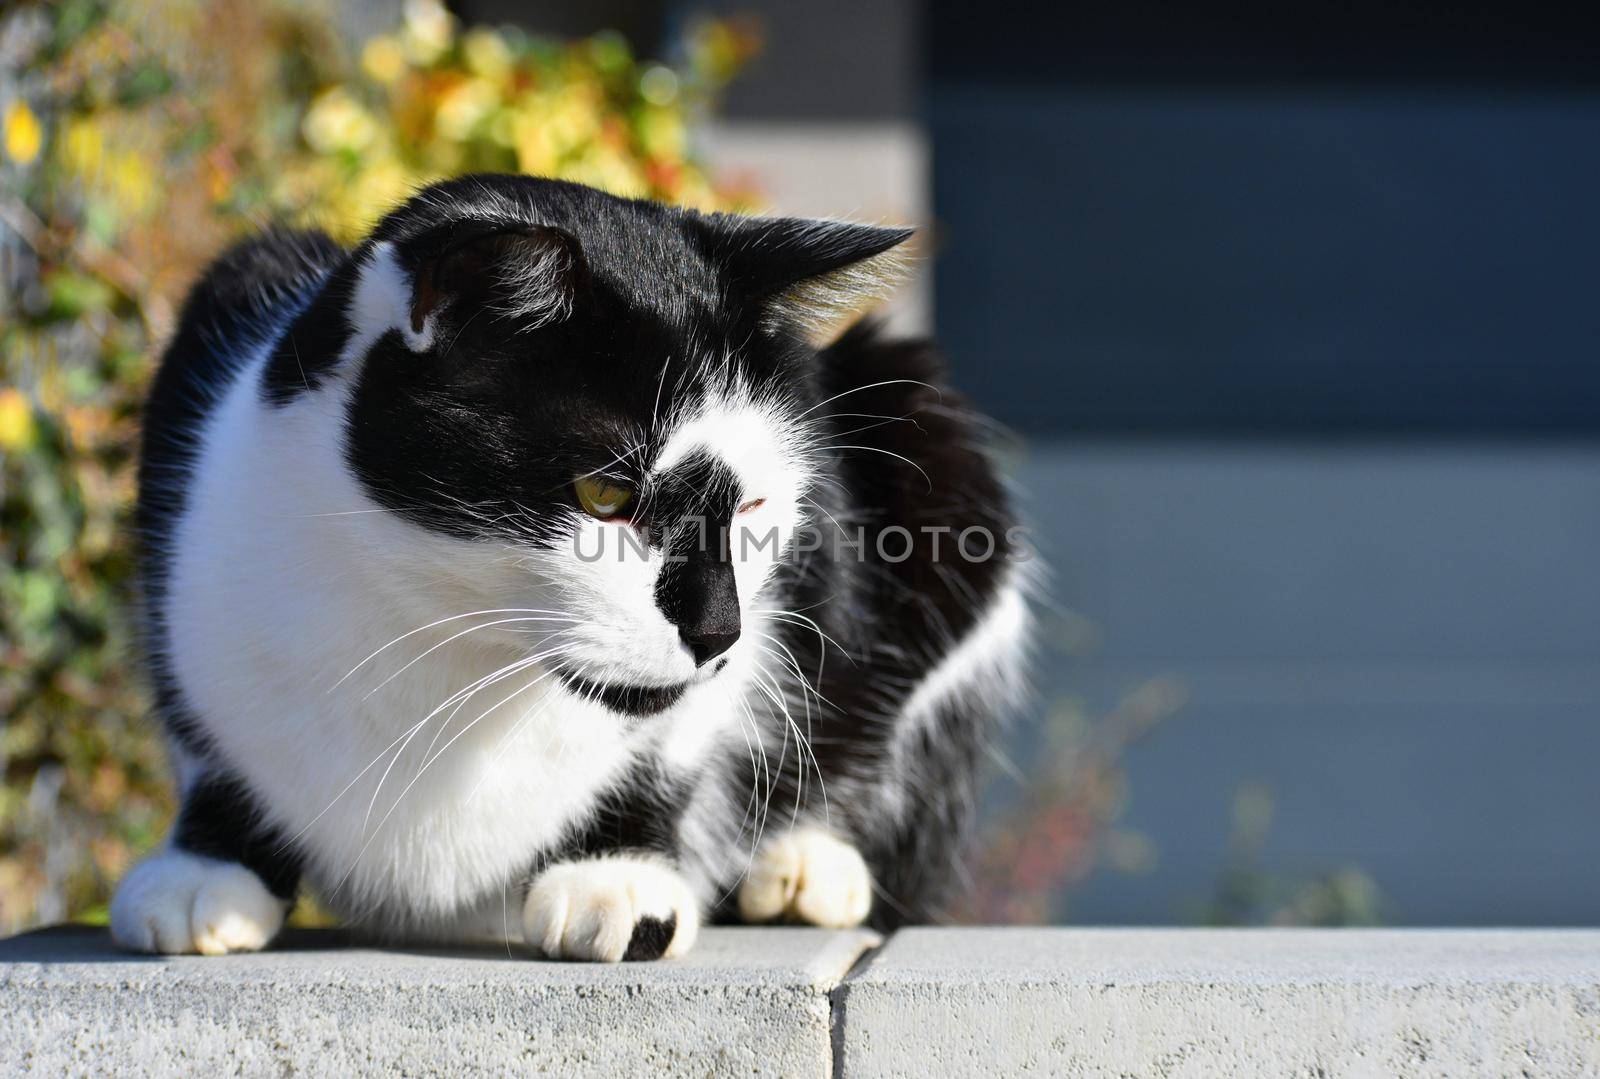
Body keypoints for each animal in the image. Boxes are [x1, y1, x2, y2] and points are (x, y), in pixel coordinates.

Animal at [116, 174, 1036, 960]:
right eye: (604, 493)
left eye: (753, 506)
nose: (718, 631)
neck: (437, 639)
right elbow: (205, 737)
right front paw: (207, 866)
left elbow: (674, 744)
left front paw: (617, 876)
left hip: (930, 433)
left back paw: (807, 865)